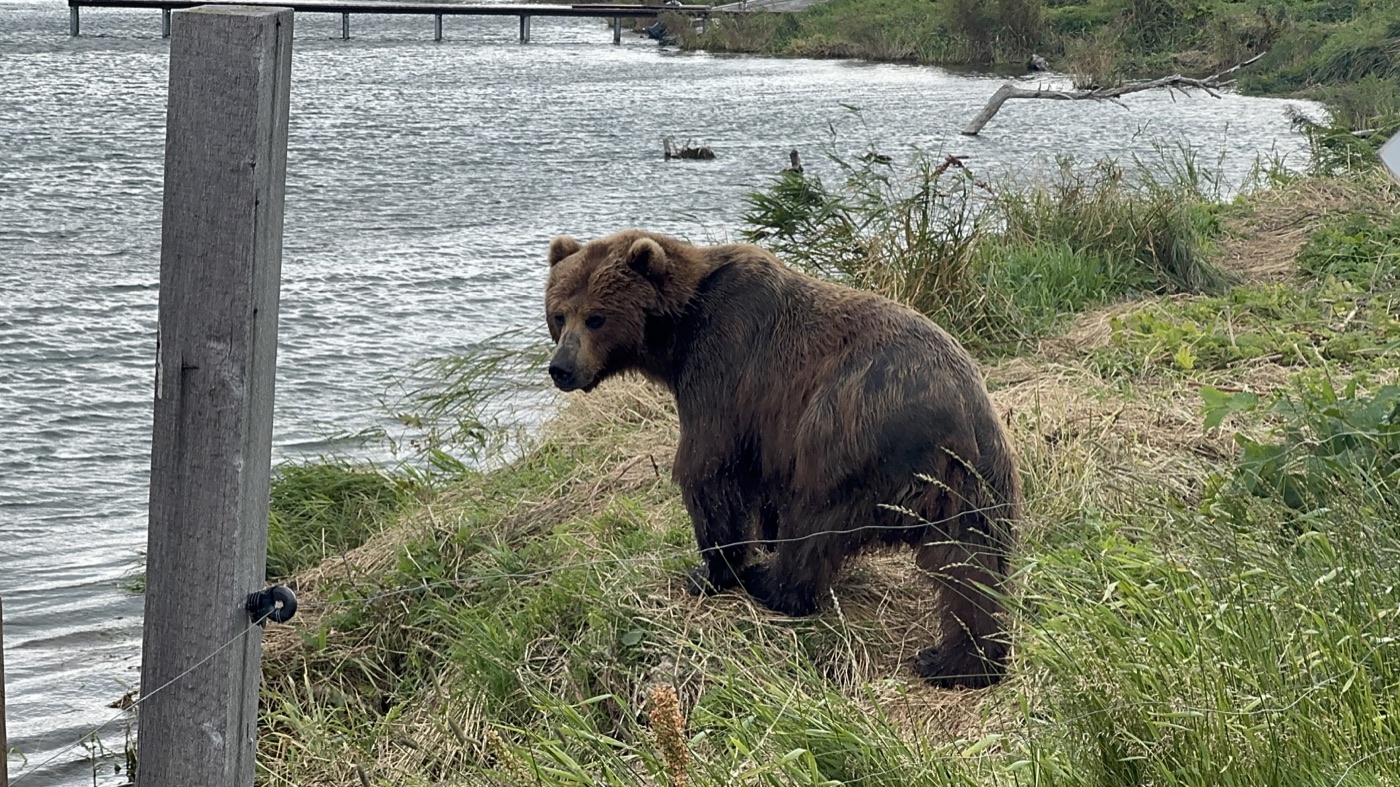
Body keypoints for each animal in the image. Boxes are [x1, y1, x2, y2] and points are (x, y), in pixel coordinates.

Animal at [544, 229, 1021, 688]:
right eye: (559, 314)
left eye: (596, 317)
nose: (560, 368)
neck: (678, 335)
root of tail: (958, 413)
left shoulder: (724, 363)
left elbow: (710, 468)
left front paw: (711, 571)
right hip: (976, 480)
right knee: (969, 565)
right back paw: (959, 662)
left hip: (846, 432)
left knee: (814, 522)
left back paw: (774, 585)